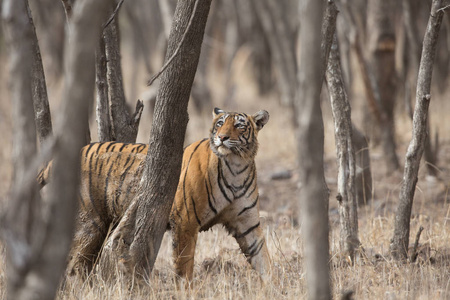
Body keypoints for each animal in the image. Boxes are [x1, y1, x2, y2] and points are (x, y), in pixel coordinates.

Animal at [37, 107, 270, 282]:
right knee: (72, 264)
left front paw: (272, 286)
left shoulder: (248, 223)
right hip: (89, 224)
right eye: (220, 123)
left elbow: (263, 258)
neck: (236, 167)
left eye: (239, 125)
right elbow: (185, 265)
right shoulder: (186, 222)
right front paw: (185, 290)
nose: (222, 138)